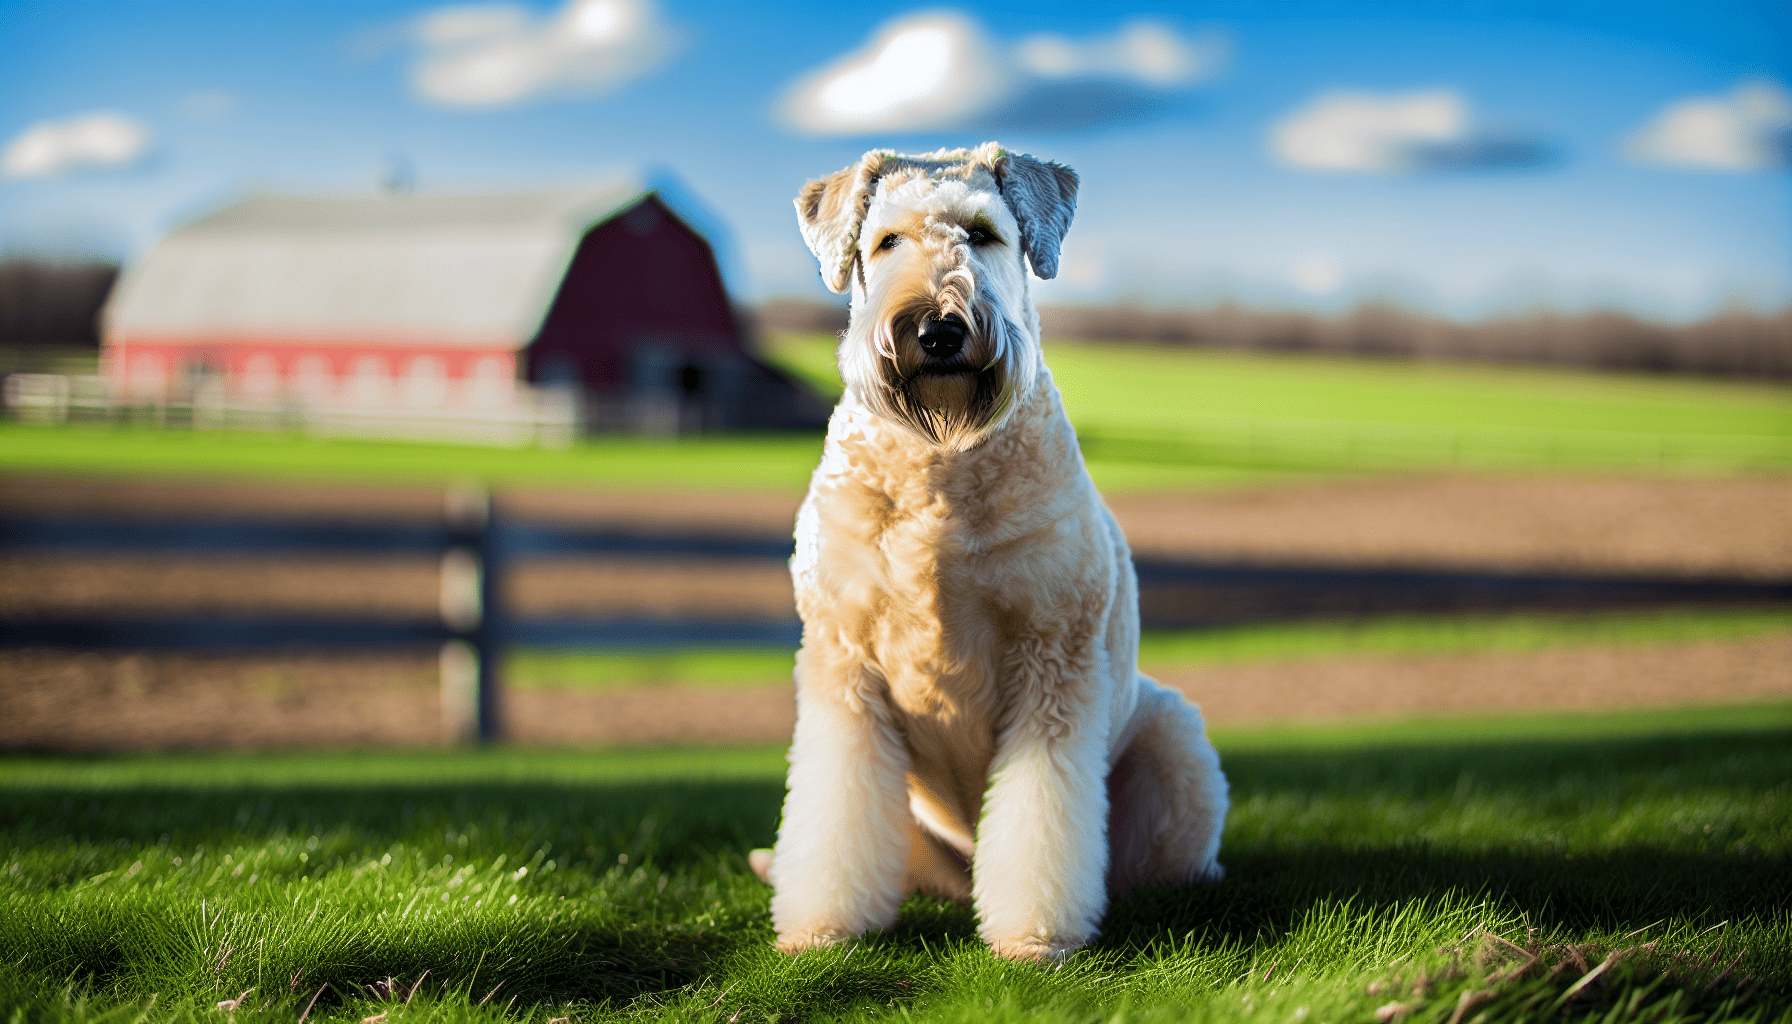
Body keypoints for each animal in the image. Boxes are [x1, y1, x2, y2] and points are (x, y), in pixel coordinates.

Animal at [745, 144, 1232, 961]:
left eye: (983, 233)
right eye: (886, 241)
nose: (939, 327)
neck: (939, 464)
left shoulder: (1052, 658)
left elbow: (1043, 815)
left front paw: (1035, 937)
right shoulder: (845, 663)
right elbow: (836, 809)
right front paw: (822, 929)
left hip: (1173, 739)